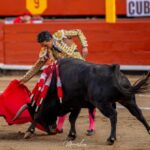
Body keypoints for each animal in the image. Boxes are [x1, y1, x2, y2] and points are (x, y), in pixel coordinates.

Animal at [13, 57, 150, 144]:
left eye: (31, 113)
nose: (51, 130)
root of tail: (112, 71)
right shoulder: (75, 104)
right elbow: (72, 118)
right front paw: (71, 135)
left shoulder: (49, 103)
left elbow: (39, 114)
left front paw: (28, 132)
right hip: (128, 100)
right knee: (139, 115)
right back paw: (149, 131)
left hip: (102, 103)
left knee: (113, 115)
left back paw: (111, 139)